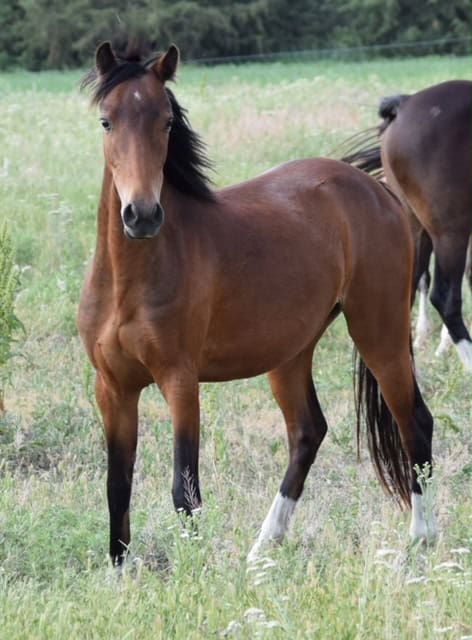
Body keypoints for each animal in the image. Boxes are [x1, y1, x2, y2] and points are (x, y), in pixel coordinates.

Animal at [78, 42, 435, 567]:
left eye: (166, 121)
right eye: (107, 121)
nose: (141, 215)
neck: (129, 284)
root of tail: (377, 190)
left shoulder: (180, 383)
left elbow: (185, 492)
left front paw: (197, 573)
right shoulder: (113, 389)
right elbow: (116, 488)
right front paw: (120, 573)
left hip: (380, 334)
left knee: (414, 424)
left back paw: (422, 540)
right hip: (291, 354)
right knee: (308, 432)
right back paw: (263, 549)